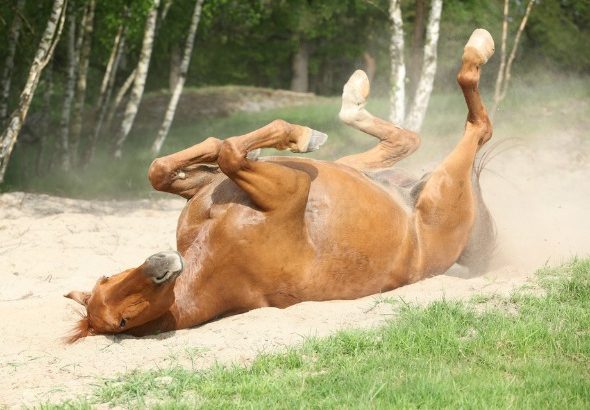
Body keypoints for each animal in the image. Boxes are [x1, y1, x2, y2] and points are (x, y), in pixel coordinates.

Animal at [67, 28, 498, 342]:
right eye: (122, 321)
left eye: (106, 278)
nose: (161, 264)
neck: (214, 255)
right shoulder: (289, 190)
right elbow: (229, 152)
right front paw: (299, 135)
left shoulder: (214, 185)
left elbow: (173, 164)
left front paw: (290, 138)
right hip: (444, 187)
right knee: (478, 126)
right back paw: (477, 49)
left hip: (350, 168)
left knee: (406, 139)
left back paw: (354, 95)